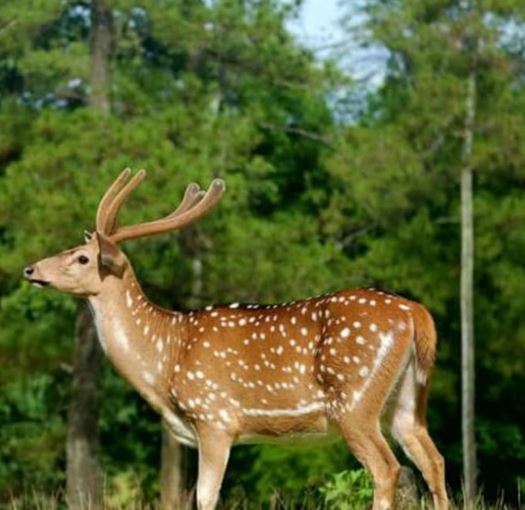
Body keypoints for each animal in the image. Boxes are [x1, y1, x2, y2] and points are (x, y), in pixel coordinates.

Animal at [25, 170, 446, 510]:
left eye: (82, 258)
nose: (30, 269)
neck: (164, 358)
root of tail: (415, 314)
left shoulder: (214, 416)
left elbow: (205, 497)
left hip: (354, 400)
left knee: (387, 469)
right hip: (406, 401)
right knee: (433, 460)